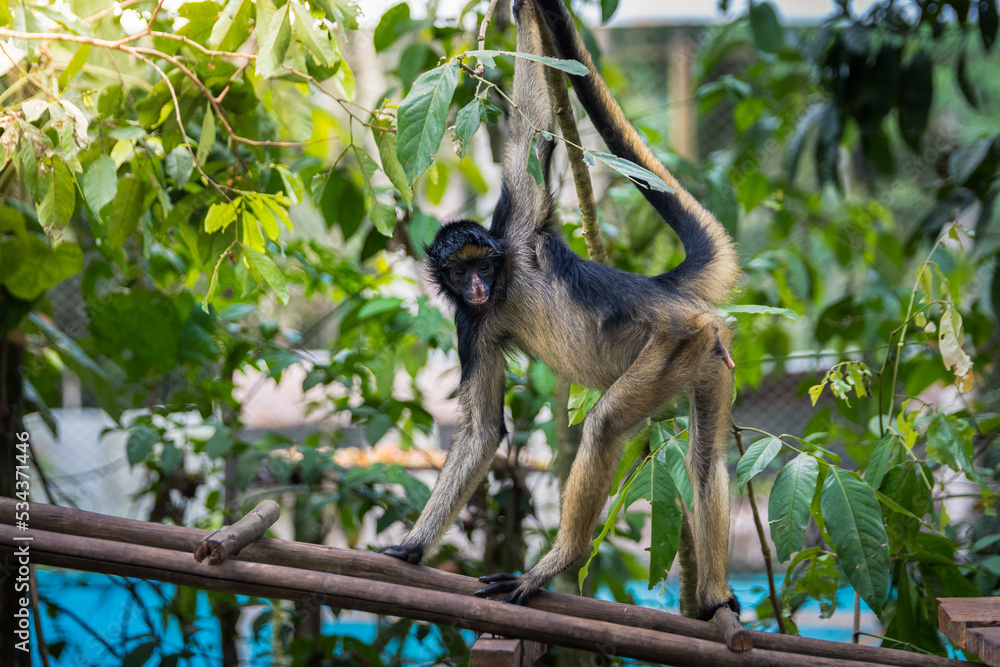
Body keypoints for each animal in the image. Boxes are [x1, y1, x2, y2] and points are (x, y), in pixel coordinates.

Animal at [381, 0, 741, 621]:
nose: (477, 285)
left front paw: (524, 11)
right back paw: (716, 599)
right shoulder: (471, 321)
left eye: (484, 265)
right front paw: (414, 546)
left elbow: (530, 125)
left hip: (676, 340)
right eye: (459, 272)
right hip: (707, 351)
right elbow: (482, 432)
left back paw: (554, 563)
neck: (506, 286)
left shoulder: (518, 231)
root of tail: (668, 293)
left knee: (605, 425)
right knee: (705, 463)